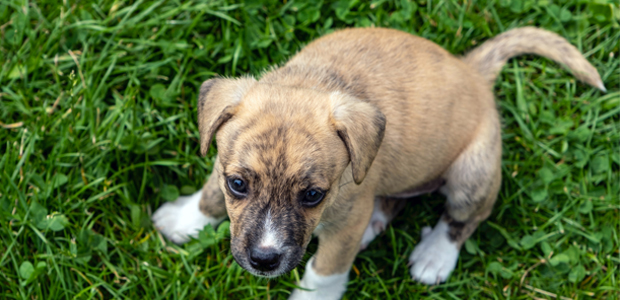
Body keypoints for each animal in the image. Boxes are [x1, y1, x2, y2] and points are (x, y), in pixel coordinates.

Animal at [151, 27, 604, 298]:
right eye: (238, 185)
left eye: (312, 195)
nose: (265, 260)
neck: (312, 81)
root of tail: (473, 71)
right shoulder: (222, 167)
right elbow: (209, 196)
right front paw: (183, 220)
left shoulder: (344, 221)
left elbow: (325, 269)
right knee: (393, 201)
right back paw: (377, 225)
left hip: (471, 175)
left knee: (463, 218)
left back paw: (435, 255)